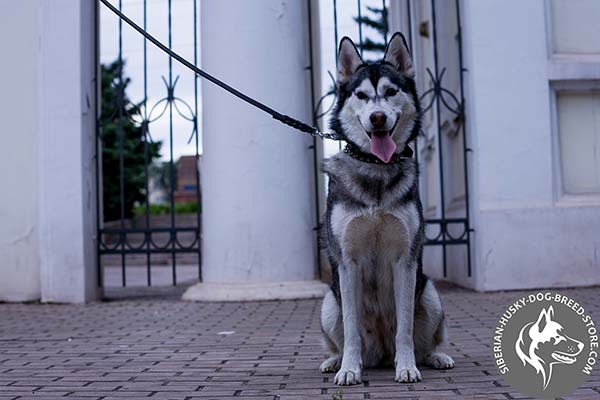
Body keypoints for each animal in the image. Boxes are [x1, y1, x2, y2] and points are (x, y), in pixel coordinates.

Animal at [322, 33, 452, 384]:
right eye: (362, 95)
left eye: (391, 92)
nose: (377, 117)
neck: (376, 169)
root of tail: (380, 354)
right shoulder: (347, 262)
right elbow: (351, 329)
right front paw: (349, 369)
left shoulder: (404, 260)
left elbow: (405, 328)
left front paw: (406, 366)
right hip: (328, 303)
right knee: (340, 337)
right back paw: (334, 360)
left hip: (430, 293)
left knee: (428, 339)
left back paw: (436, 356)